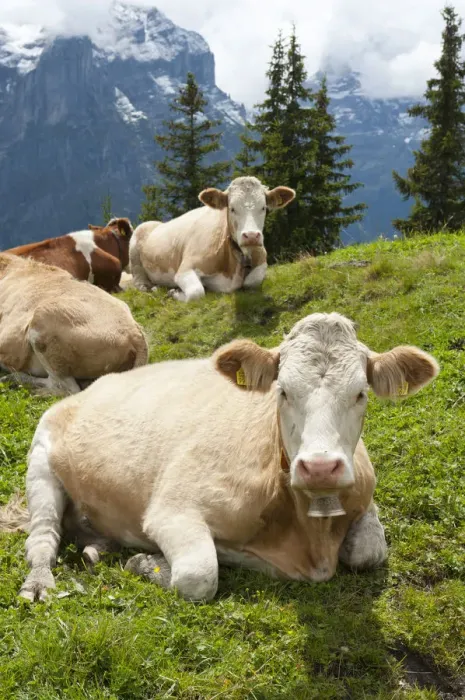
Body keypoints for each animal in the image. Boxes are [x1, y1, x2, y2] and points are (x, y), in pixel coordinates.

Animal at [4, 312, 439, 603]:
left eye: (361, 393)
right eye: (282, 391)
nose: (319, 467)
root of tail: (93, 386)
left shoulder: (364, 494)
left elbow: (370, 552)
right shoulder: (172, 509)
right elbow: (199, 576)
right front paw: (146, 562)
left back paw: (98, 548)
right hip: (41, 460)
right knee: (43, 536)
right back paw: (40, 583)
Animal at [129, 176, 295, 301]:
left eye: (263, 208)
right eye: (232, 208)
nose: (251, 236)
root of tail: (156, 223)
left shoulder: (261, 259)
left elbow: (251, 282)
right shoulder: (186, 268)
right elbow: (196, 293)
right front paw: (175, 292)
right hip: (135, 250)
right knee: (140, 284)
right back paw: (154, 288)